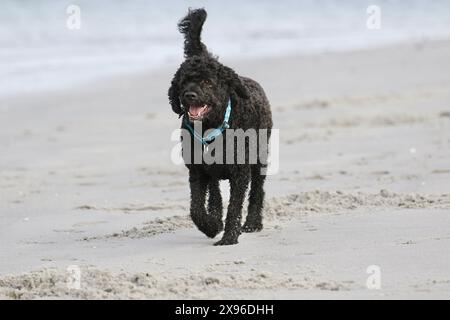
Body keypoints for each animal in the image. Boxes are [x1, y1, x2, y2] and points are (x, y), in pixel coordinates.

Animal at [169, 9, 272, 245]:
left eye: (207, 82)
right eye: (184, 81)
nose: (189, 95)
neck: (211, 127)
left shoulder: (240, 173)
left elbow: (235, 205)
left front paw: (229, 236)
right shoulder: (197, 170)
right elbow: (196, 208)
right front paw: (211, 226)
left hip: (260, 158)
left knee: (257, 191)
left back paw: (253, 223)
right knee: (214, 192)